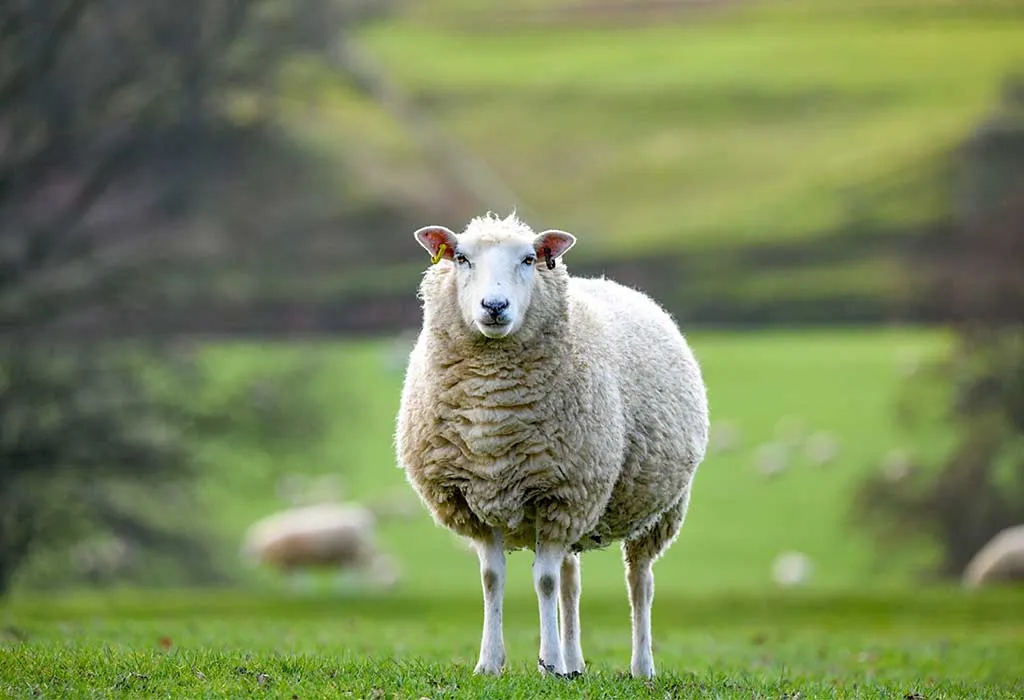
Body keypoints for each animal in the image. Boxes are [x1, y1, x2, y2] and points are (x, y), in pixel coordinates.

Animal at [395, 212, 709, 679]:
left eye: (529, 258)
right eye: (461, 257)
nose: (494, 307)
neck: (493, 416)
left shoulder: (561, 496)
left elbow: (543, 581)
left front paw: (549, 663)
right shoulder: (475, 500)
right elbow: (493, 579)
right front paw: (490, 663)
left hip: (659, 510)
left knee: (639, 582)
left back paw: (640, 666)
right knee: (571, 582)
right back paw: (575, 662)